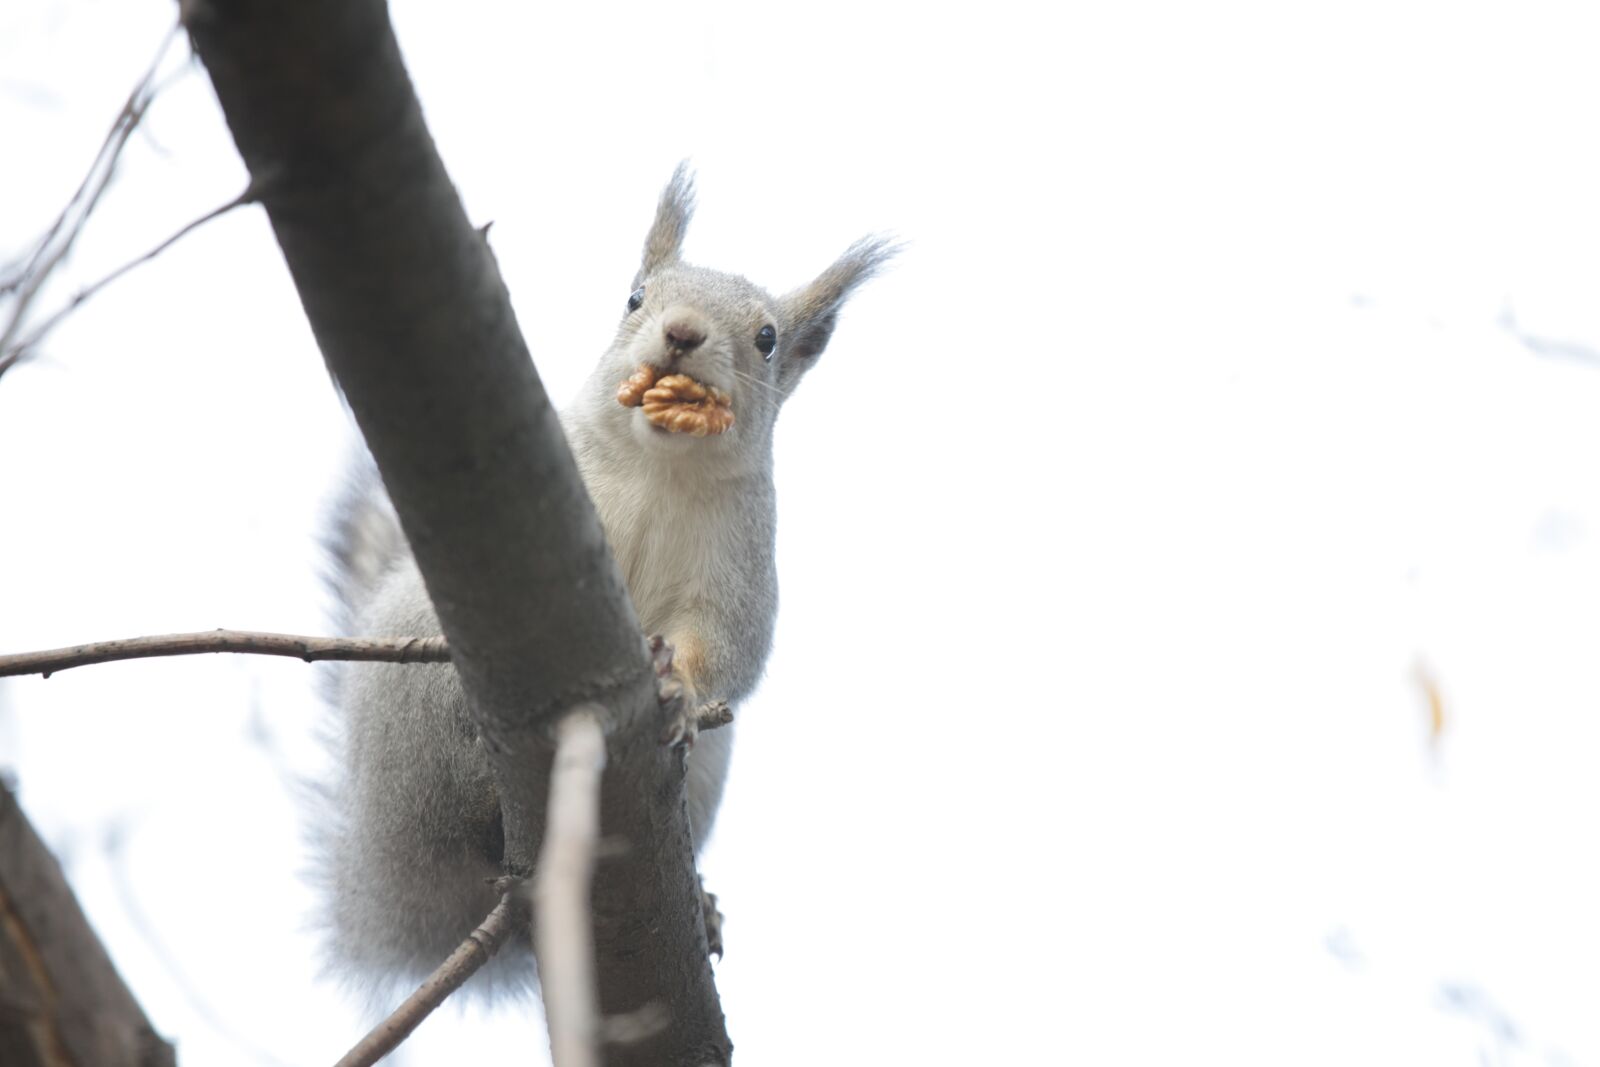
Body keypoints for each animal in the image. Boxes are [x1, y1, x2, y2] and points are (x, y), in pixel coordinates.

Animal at [313, 165, 896, 1002]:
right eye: (635, 297)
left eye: (766, 338)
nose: (682, 332)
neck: (661, 462)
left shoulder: (741, 562)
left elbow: (728, 644)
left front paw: (679, 687)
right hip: (415, 711)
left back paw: (701, 902)